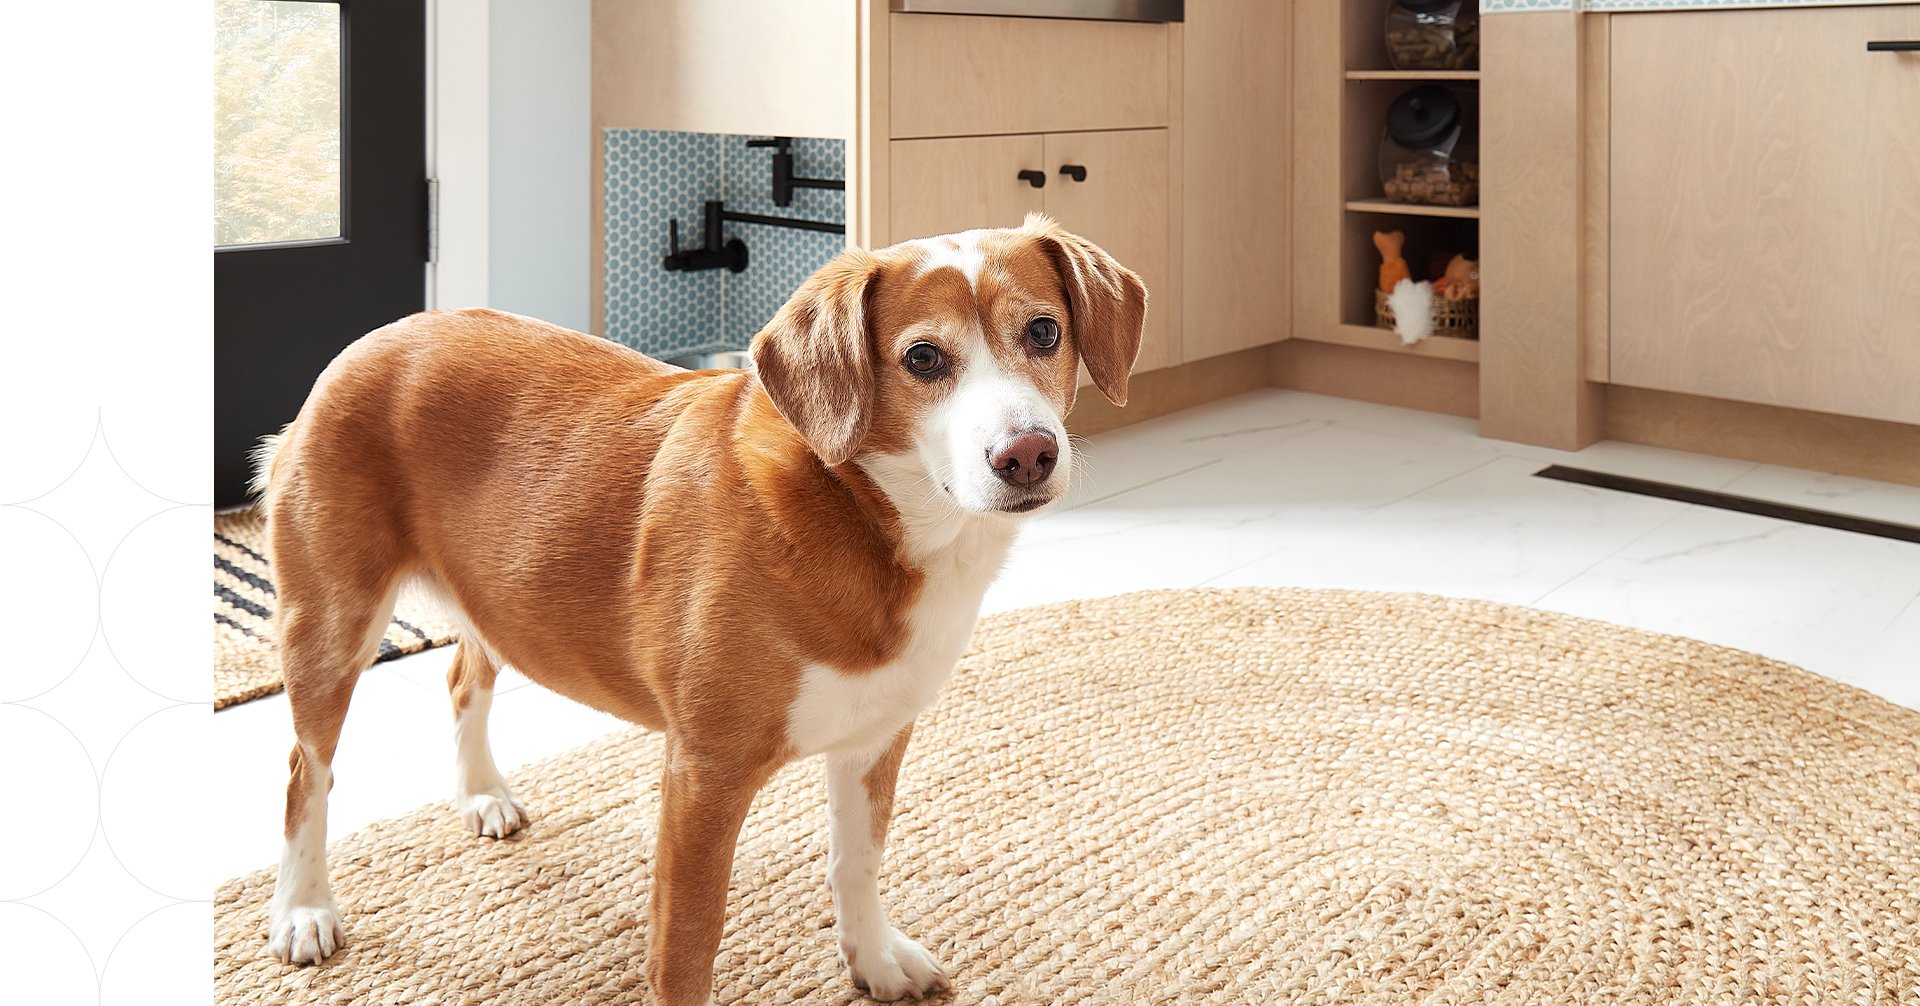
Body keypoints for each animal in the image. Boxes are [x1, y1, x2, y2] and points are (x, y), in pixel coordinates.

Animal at [253, 214, 1136, 1006]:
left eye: (1045, 332)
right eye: (924, 357)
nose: (1027, 454)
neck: (865, 515)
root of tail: (375, 339)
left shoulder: (875, 739)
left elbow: (855, 863)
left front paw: (874, 961)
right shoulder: (704, 776)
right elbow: (687, 944)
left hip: (496, 598)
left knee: (465, 678)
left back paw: (482, 794)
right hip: (331, 629)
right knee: (305, 772)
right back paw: (303, 910)